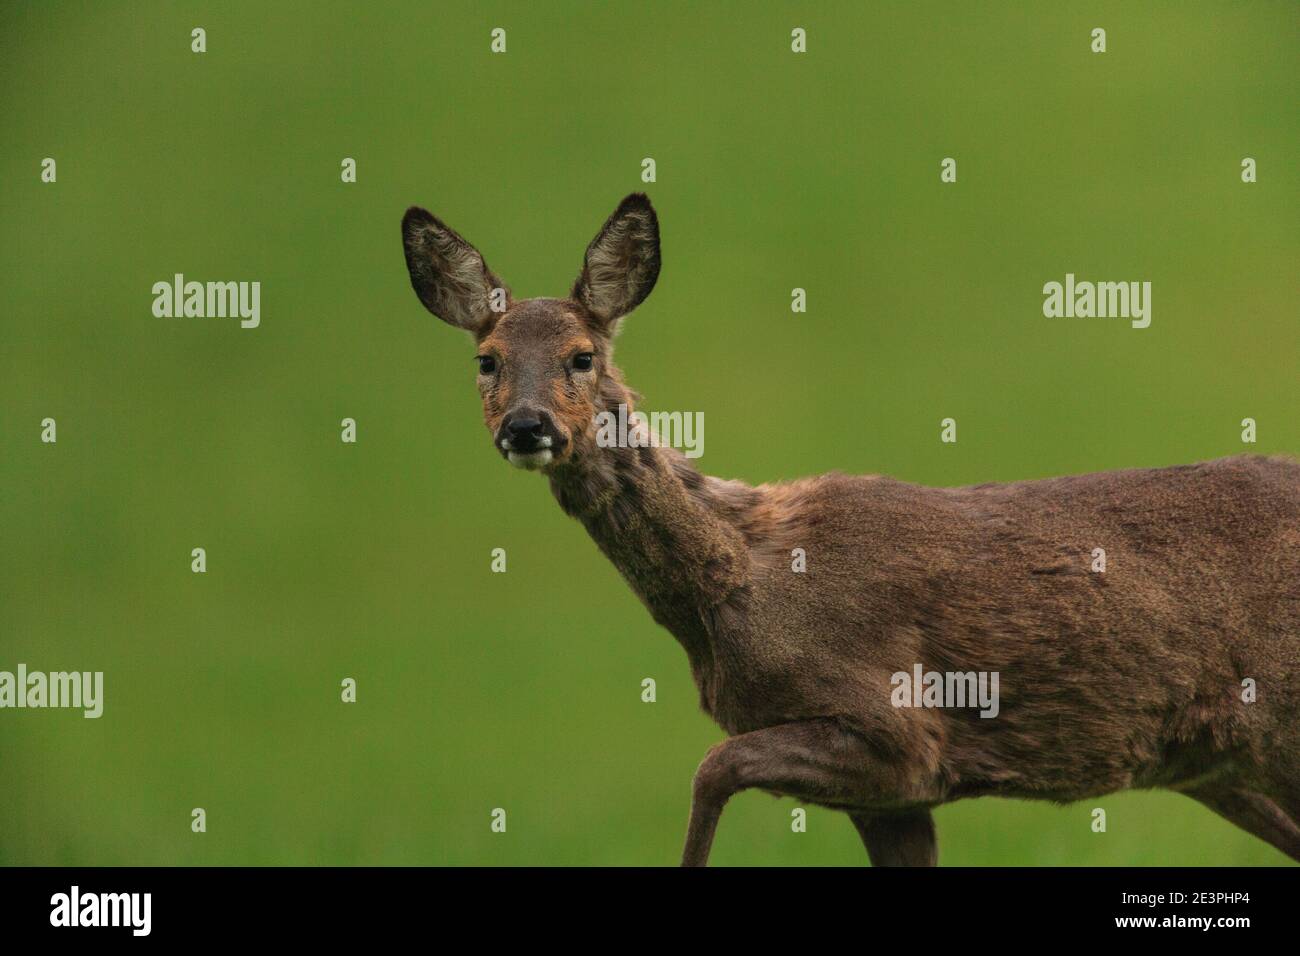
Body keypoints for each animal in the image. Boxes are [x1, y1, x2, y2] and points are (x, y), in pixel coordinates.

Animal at [401, 192, 1300, 866]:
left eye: (582, 356)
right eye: (486, 360)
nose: (525, 427)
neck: (740, 582)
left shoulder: (894, 729)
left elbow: (710, 769)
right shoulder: (892, 796)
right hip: (1218, 764)